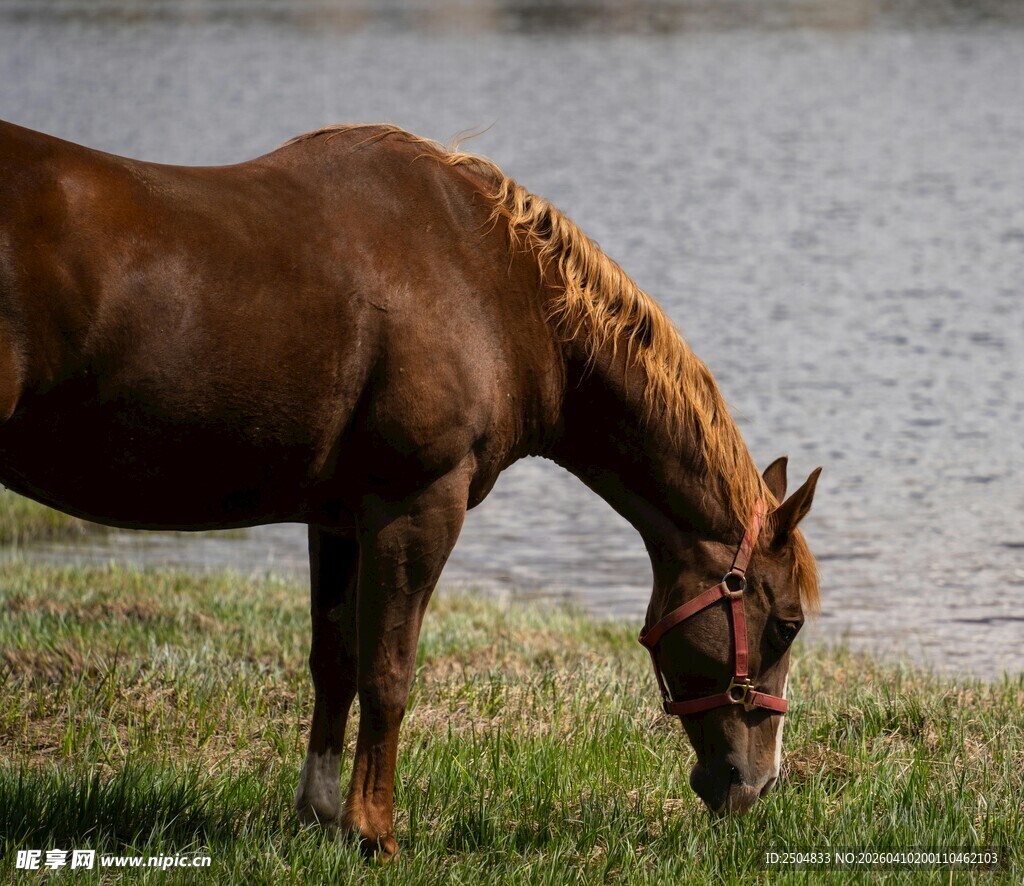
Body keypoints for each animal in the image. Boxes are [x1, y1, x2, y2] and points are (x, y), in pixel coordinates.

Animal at [0, 120, 820, 858]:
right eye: (786, 625)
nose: (758, 784)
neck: (494, 282)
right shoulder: (418, 506)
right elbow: (388, 673)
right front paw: (374, 833)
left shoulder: (336, 519)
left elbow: (334, 662)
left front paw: (321, 815)